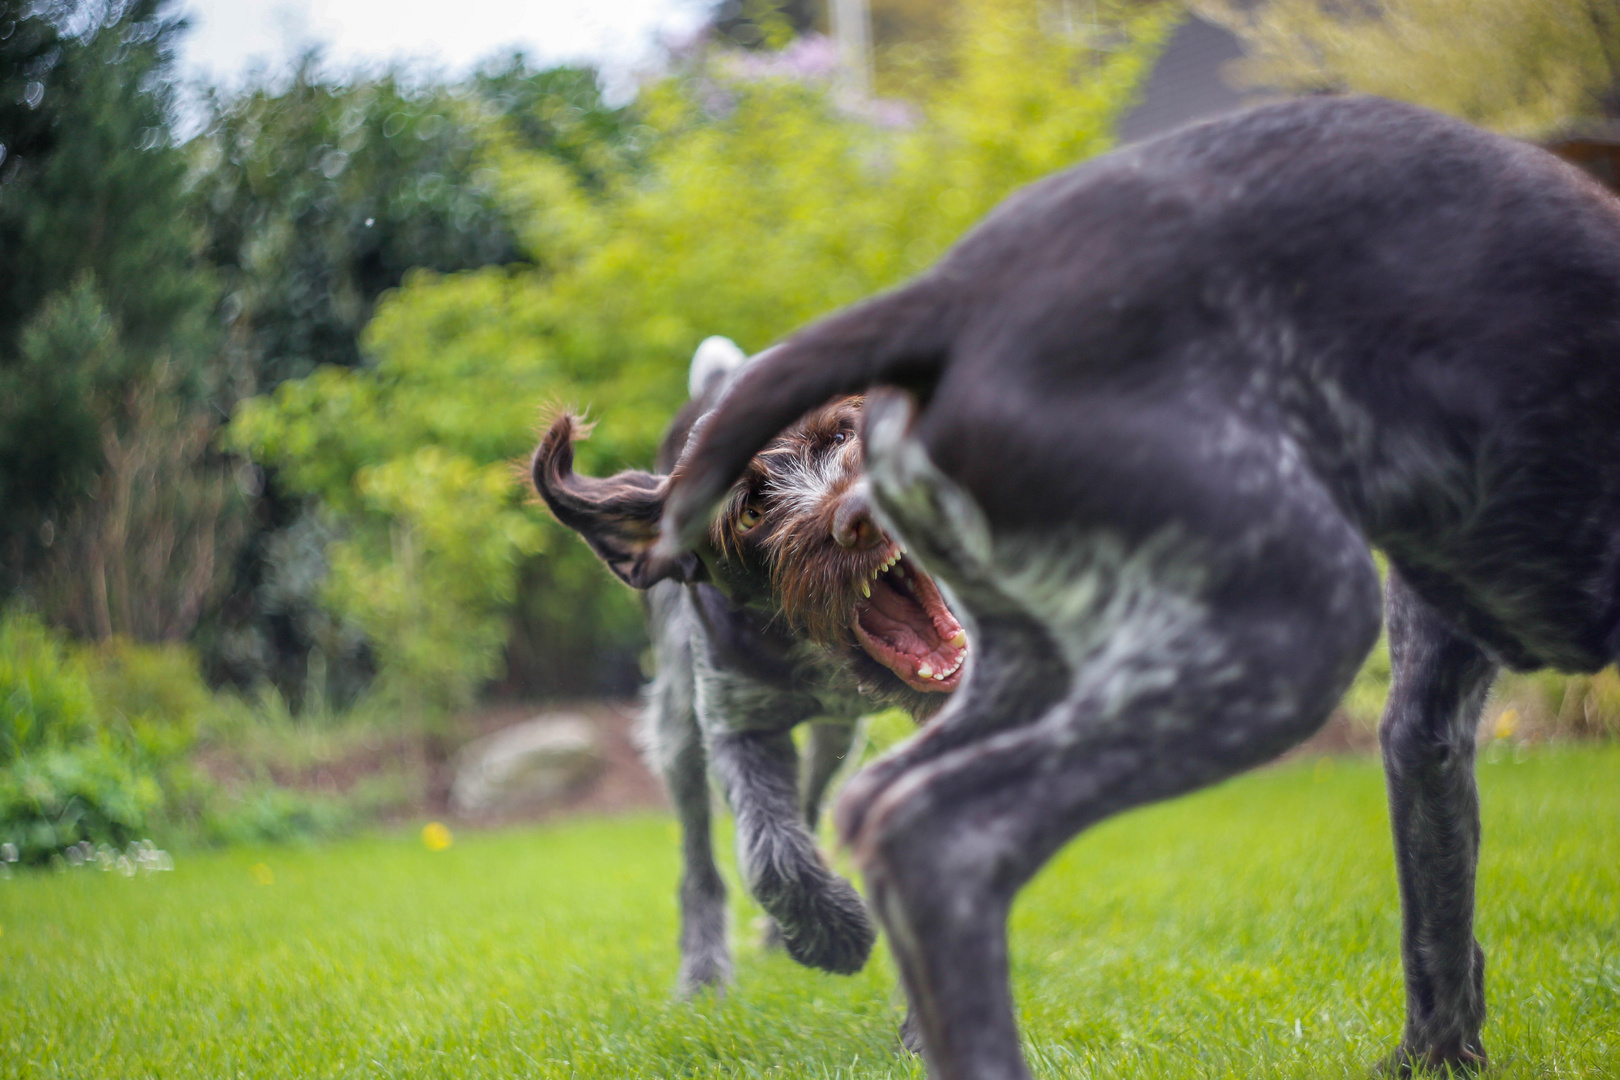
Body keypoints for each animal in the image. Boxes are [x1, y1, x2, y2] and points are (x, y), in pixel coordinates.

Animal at [528, 341, 959, 1003]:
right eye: (752, 510)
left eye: (845, 433)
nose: (859, 516)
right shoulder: (737, 727)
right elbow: (771, 853)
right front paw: (832, 934)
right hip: (679, 730)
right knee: (702, 861)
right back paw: (704, 971)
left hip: (837, 734)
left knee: (807, 800)